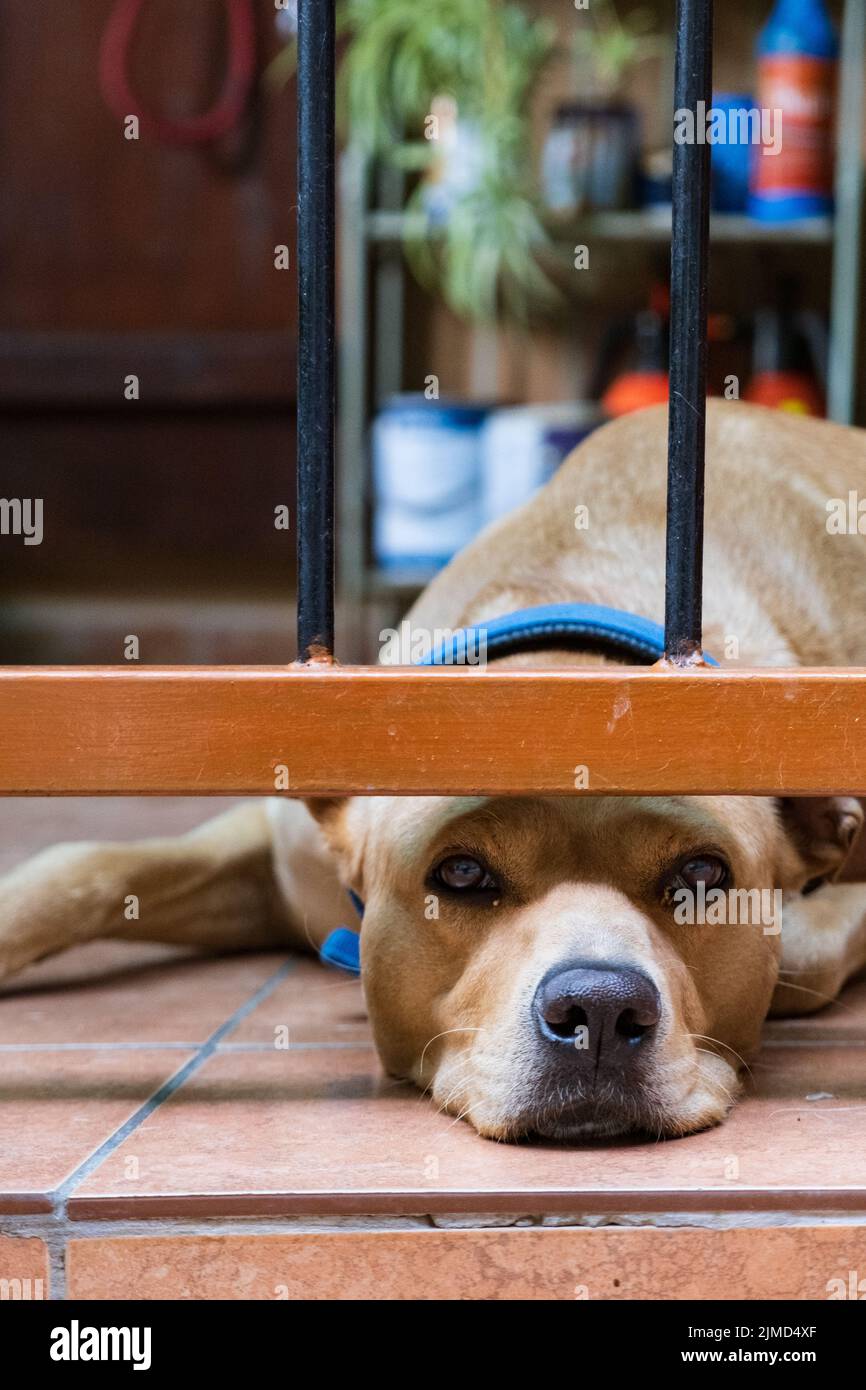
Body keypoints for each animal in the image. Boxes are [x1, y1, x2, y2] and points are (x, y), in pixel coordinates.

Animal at [1, 403, 866, 1139]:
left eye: (700, 877)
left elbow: (805, 951)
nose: (599, 1010)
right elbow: (78, 867)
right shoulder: (274, 849)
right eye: (461, 873)